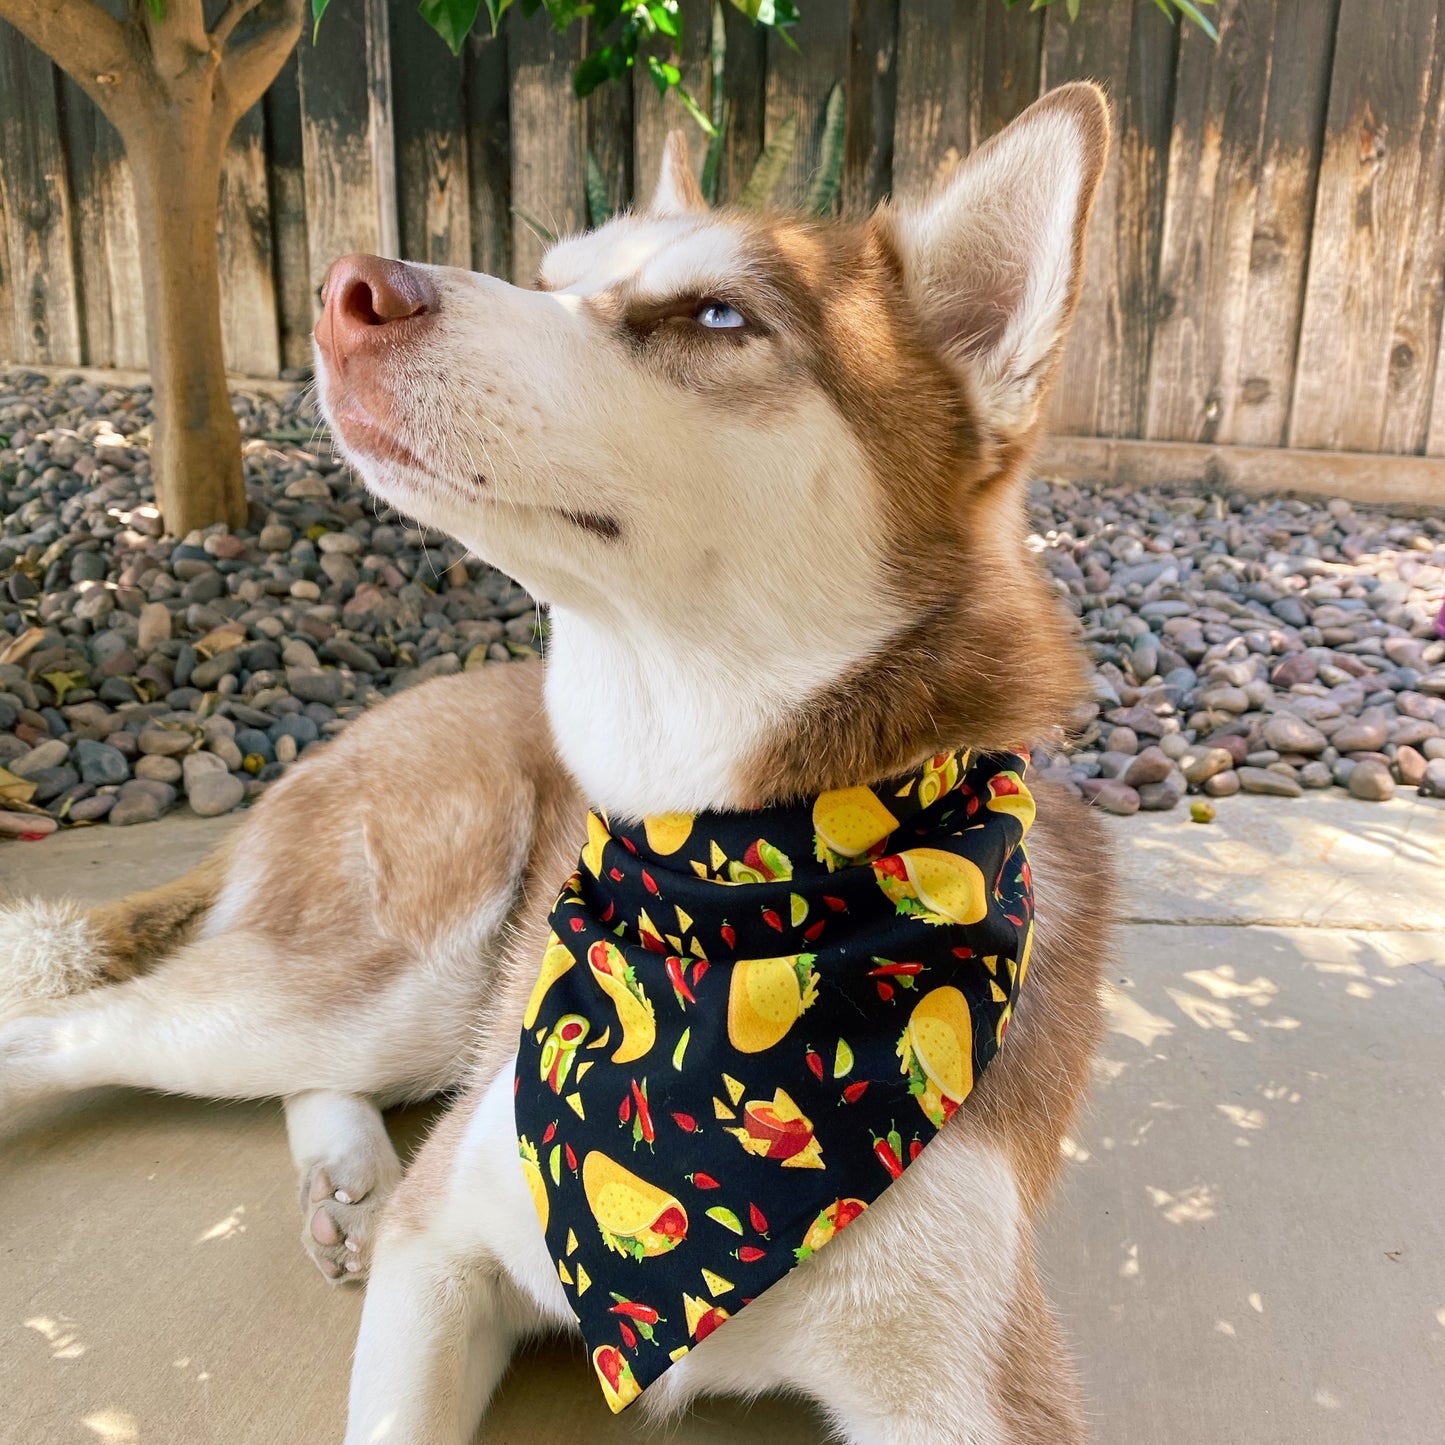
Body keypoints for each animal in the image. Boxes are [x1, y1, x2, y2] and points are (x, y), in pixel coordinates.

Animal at [0, 87, 1109, 1433]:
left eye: (715, 314)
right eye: (552, 276)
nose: (348, 287)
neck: (733, 870)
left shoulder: (973, 1385)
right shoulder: (449, 1242)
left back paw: (348, 1176)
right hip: (388, 970)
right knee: (71, 1034)